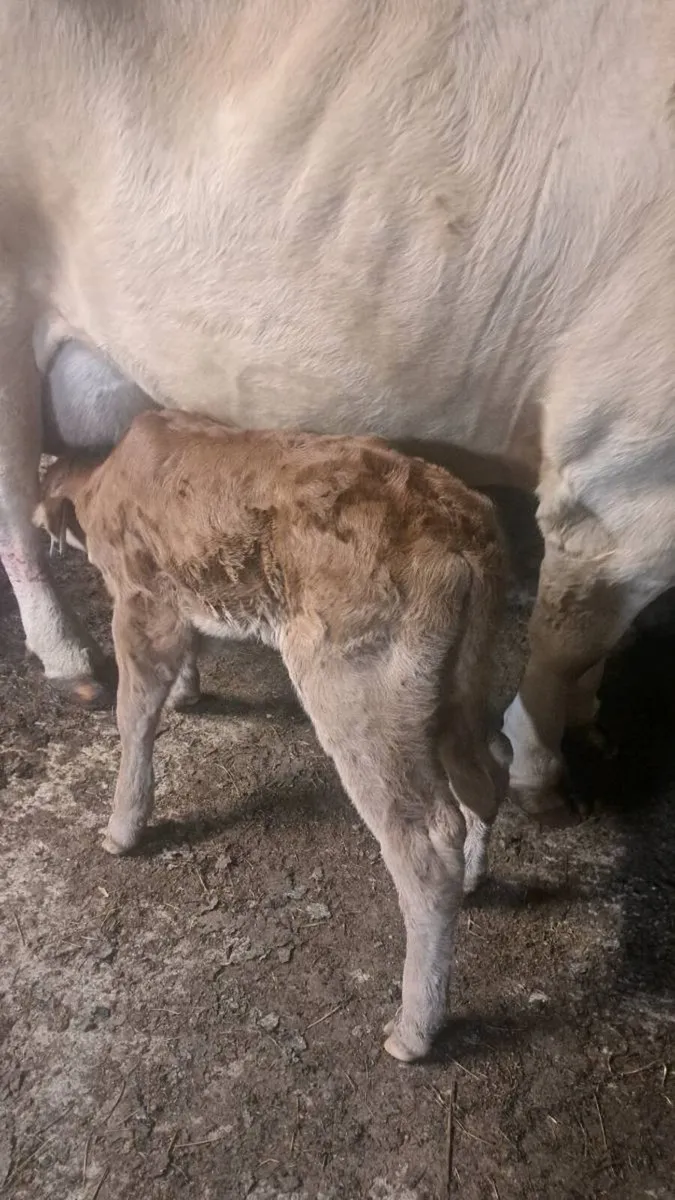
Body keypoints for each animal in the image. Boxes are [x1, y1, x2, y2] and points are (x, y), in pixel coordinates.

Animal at [1, 0, 675, 824]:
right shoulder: (628, 470)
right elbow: (568, 640)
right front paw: (539, 770)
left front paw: (586, 720)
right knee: (14, 513)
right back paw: (69, 660)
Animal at [35, 408, 508, 1062]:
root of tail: (458, 520)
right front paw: (187, 692)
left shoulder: (141, 599)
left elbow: (133, 715)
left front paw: (122, 827)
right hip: (467, 684)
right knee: (490, 768)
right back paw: (474, 875)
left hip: (358, 695)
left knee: (426, 842)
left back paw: (415, 1028)